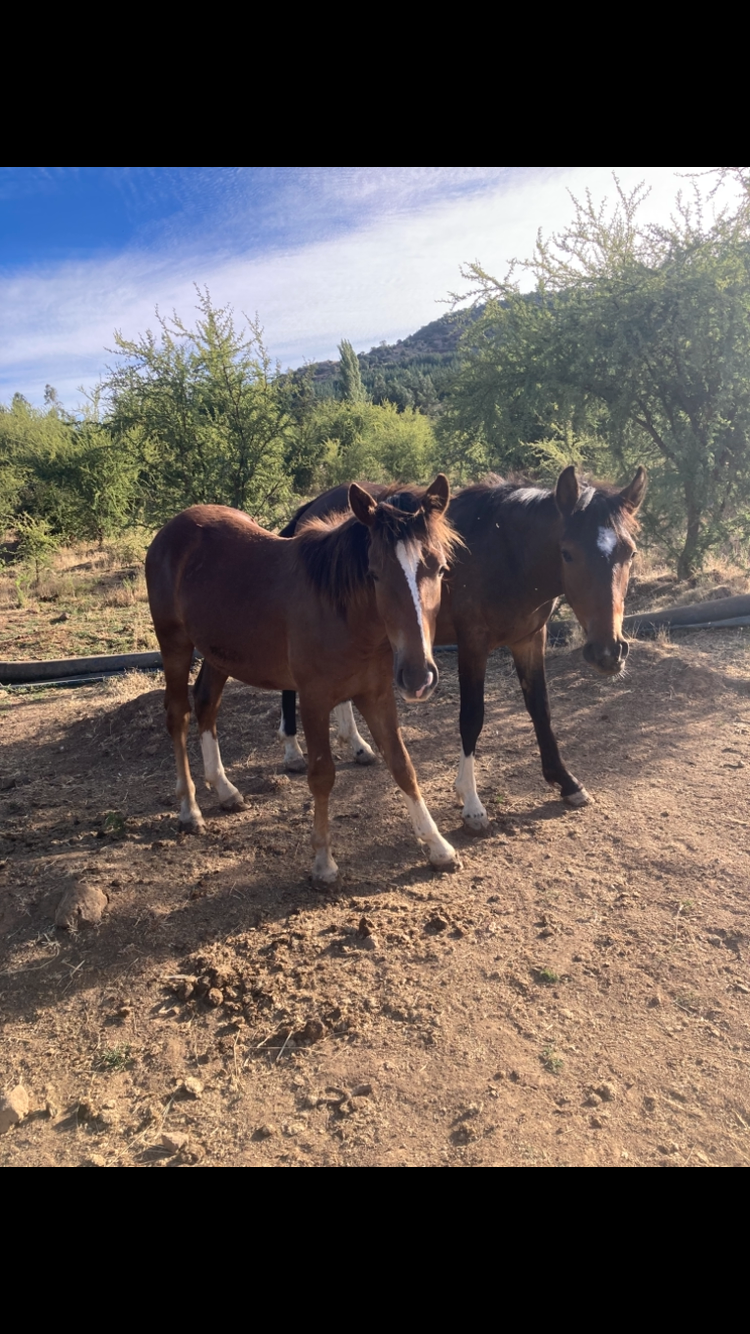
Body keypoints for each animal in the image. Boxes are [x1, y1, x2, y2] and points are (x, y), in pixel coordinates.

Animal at [144, 476, 461, 886]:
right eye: (375, 572)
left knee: (206, 705)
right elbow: (322, 774)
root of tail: (172, 528)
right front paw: (323, 862)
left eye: (439, 568)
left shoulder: (377, 695)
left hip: (218, 653)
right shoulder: (313, 700)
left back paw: (226, 790)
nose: (418, 675)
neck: (343, 613)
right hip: (175, 645)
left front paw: (439, 846)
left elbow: (402, 765)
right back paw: (190, 809)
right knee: (177, 714)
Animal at [277, 465, 647, 830]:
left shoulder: (529, 639)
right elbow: (471, 716)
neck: (506, 552)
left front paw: (566, 782)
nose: (608, 652)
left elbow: (540, 708)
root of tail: (312, 507)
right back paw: (293, 751)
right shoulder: (473, 644)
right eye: (568, 553)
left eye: (630, 553)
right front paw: (471, 803)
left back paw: (356, 744)